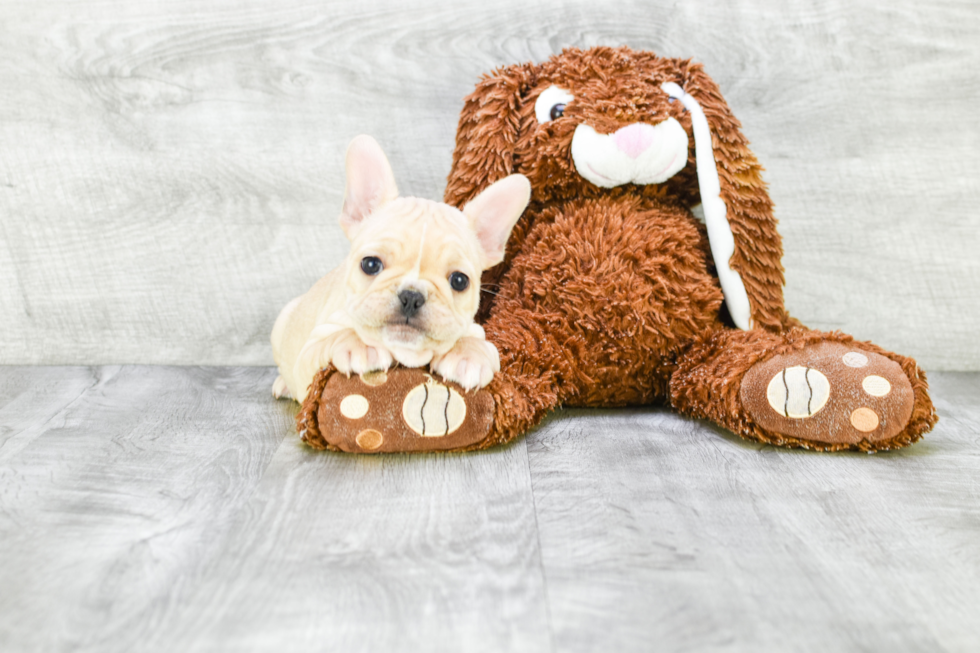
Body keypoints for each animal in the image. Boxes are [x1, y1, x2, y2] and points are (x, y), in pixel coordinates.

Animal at [272, 135, 532, 402]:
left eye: (460, 281)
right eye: (370, 264)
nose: (412, 297)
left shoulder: (480, 335)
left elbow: (474, 343)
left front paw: (468, 355)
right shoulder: (308, 355)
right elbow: (332, 339)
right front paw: (359, 344)